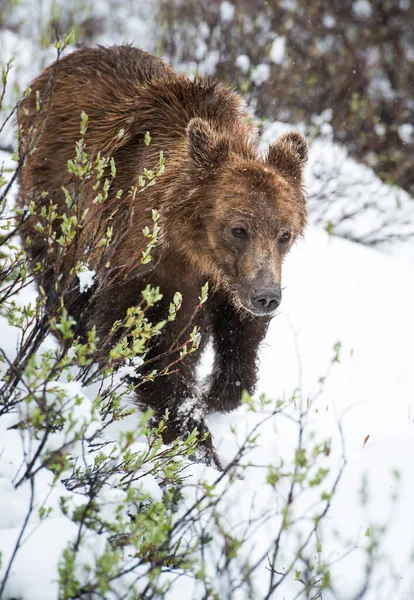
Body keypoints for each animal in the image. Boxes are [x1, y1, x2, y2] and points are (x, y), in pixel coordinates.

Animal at [17, 45, 308, 468]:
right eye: (238, 229)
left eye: (284, 234)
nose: (267, 297)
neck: (197, 247)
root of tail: (54, 67)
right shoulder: (151, 264)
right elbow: (148, 346)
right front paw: (196, 444)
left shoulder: (225, 282)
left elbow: (236, 338)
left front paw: (217, 393)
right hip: (53, 199)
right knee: (59, 274)